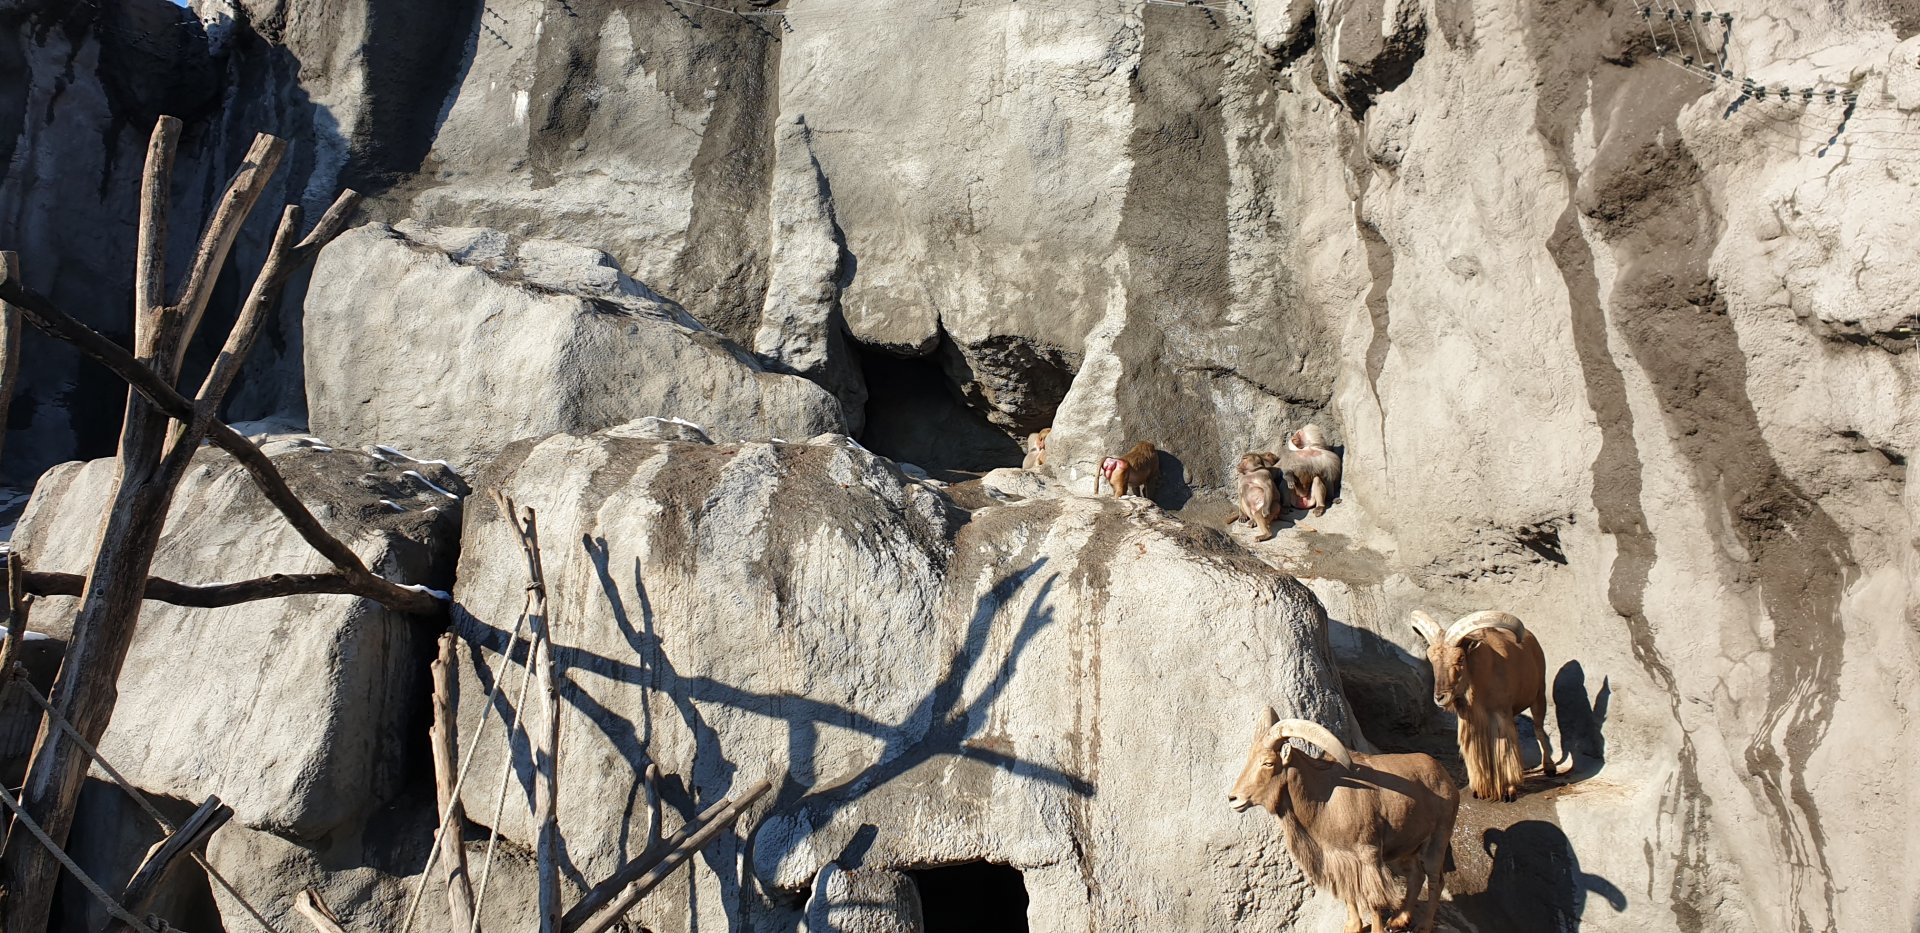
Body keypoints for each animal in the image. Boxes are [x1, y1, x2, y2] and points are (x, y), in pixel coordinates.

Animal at [1228, 711, 1459, 933]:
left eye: (1268, 763)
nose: (1233, 798)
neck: (1325, 798)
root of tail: (1445, 776)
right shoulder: (1339, 858)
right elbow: (1349, 894)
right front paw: (1353, 927)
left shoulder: (1368, 854)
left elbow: (1374, 899)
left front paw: (1376, 930)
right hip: (1405, 847)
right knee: (1416, 875)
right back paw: (1399, 920)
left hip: (1437, 839)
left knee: (1436, 880)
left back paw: (1423, 926)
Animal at [1408, 609, 1556, 801]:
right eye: (1431, 659)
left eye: (1460, 658)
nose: (1440, 697)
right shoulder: (1471, 721)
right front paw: (1479, 790)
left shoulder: (1501, 715)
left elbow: (1505, 751)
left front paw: (1508, 791)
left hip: (1539, 695)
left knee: (1538, 729)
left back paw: (1549, 767)